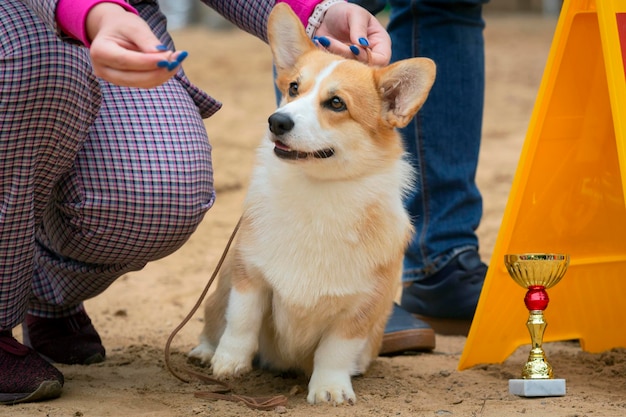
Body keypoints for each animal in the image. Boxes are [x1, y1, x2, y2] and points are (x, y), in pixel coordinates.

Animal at [189, 3, 434, 404]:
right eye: (293, 88)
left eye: (336, 103)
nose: (276, 121)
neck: (318, 190)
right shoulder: (249, 275)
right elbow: (241, 320)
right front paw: (229, 362)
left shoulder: (361, 306)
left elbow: (335, 349)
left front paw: (330, 389)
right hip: (219, 291)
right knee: (214, 320)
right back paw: (206, 352)